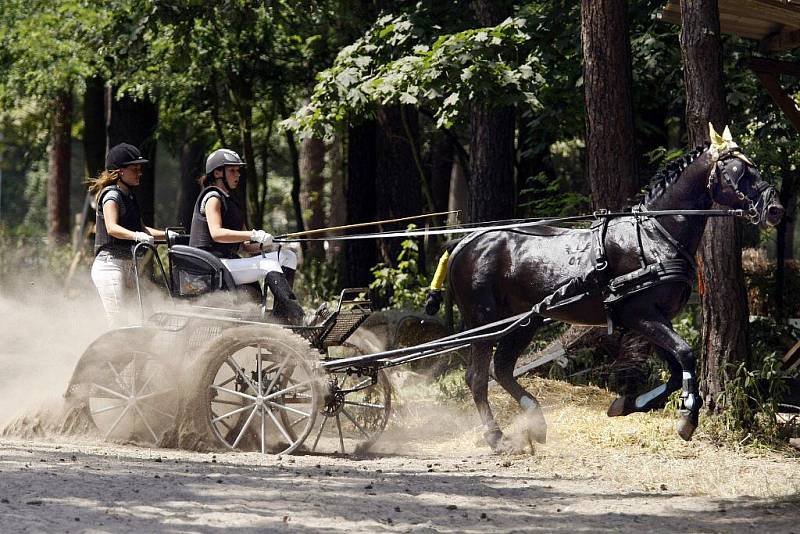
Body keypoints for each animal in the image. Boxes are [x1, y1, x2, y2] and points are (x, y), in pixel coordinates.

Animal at [438, 132, 780, 454]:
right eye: (739, 171)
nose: (775, 210)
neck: (655, 235)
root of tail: (464, 242)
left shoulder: (655, 318)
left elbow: (673, 370)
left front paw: (626, 405)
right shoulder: (641, 315)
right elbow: (685, 353)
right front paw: (687, 418)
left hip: (525, 321)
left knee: (502, 369)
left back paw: (535, 421)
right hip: (484, 322)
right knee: (477, 377)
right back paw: (497, 437)